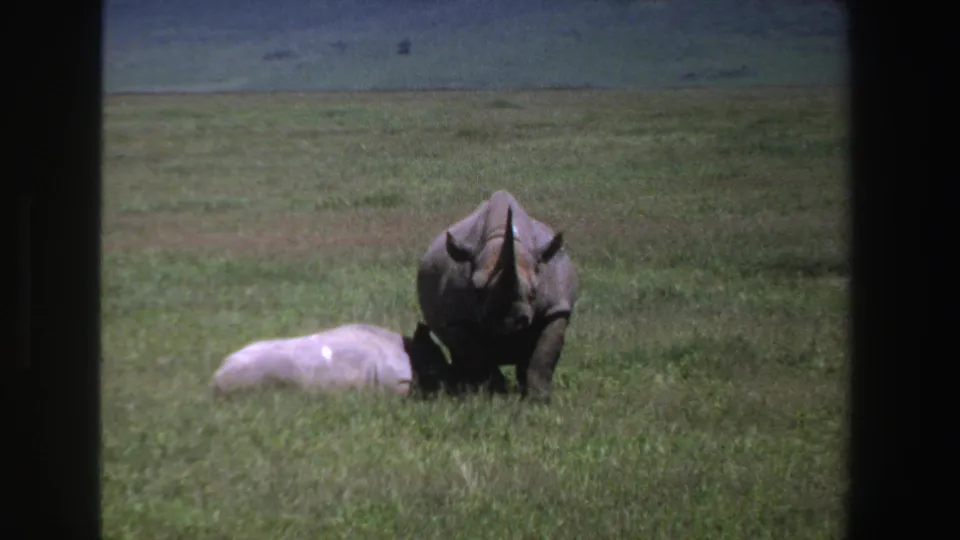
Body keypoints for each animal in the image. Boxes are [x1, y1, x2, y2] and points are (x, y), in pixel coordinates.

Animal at [416, 190, 579, 404]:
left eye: (533, 293)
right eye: (477, 291)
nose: (508, 322)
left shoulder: (556, 307)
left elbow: (544, 354)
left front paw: (539, 400)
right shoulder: (458, 318)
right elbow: (476, 355)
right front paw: (496, 397)